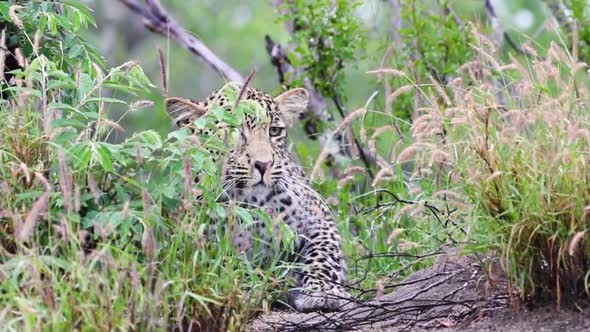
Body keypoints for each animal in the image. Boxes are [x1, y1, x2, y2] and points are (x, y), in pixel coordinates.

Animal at [164, 82, 354, 312]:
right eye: (233, 130)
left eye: (274, 131)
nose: (264, 164)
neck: (254, 204)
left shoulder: (319, 217)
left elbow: (324, 254)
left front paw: (322, 291)